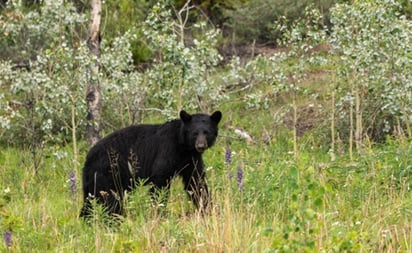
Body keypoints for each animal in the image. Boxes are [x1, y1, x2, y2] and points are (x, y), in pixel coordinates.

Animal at [80, 110, 222, 217]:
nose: (201, 145)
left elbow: (196, 182)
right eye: (195, 133)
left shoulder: (191, 160)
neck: (183, 147)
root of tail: (88, 158)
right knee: (110, 200)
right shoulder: (167, 151)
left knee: (90, 201)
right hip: (108, 172)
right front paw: (159, 211)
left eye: (206, 132)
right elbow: (160, 180)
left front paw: (208, 208)